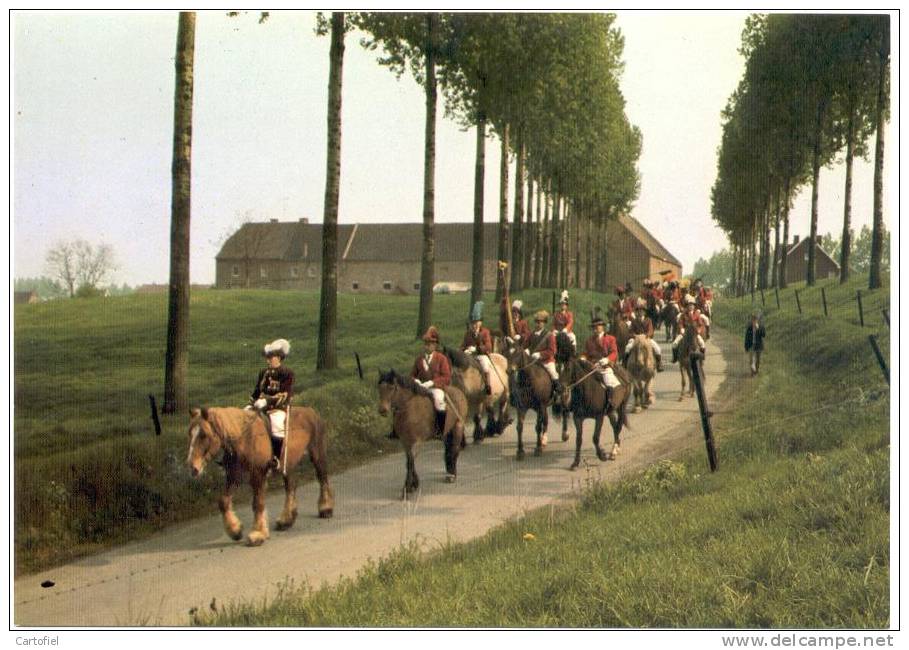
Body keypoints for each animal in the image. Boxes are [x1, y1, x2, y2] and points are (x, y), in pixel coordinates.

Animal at [186, 408, 336, 544]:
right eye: (190, 434)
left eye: (204, 435)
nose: (192, 467)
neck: (244, 439)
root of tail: (312, 412)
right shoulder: (234, 476)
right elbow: (223, 501)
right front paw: (235, 531)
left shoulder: (258, 475)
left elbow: (258, 503)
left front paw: (257, 534)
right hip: (288, 465)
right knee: (291, 487)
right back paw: (286, 521)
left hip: (317, 455)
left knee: (322, 479)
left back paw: (326, 509)